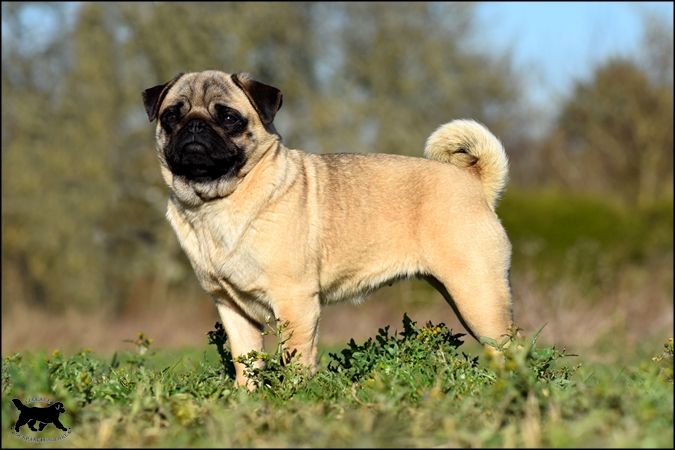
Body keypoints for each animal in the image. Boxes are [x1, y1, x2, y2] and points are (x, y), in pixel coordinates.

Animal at [143, 70, 512, 386]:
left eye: (229, 118)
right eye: (171, 116)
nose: (194, 126)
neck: (216, 202)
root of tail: (473, 180)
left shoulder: (295, 301)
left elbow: (295, 359)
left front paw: (293, 396)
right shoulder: (232, 308)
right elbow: (245, 364)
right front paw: (246, 398)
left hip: (477, 294)